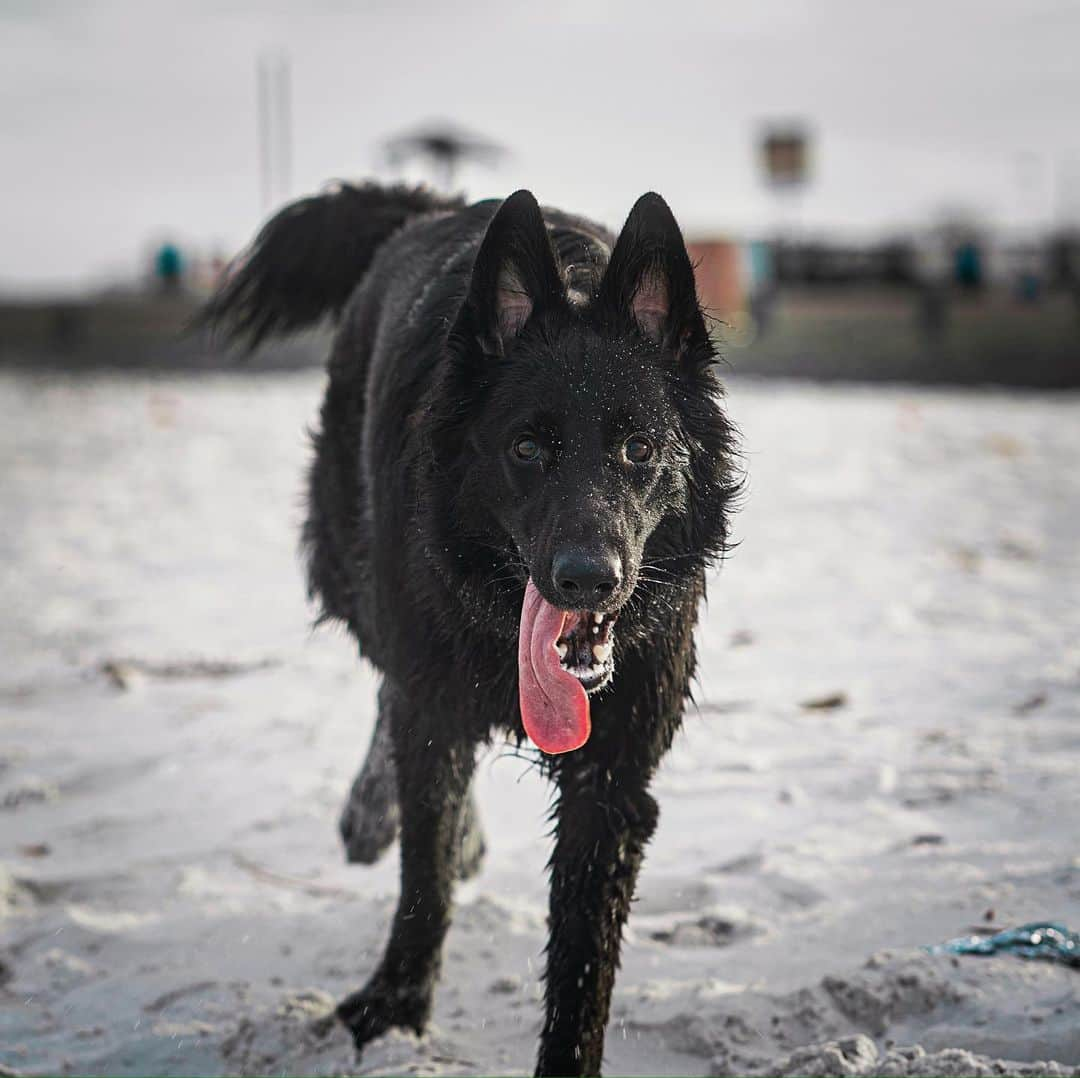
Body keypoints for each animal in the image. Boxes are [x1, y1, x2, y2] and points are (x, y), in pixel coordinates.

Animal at [205, 181, 738, 1075]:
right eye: (526, 448)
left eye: (638, 447)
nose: (588, 576)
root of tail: (433, 202)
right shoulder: (433, 708)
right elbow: (423, 872)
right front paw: (396, 1005)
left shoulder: (611, 782)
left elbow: (583, 964)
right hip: (356, 575)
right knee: (388, 689)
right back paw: (377, 814)